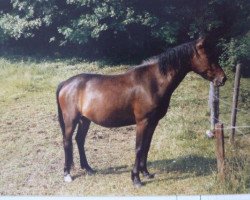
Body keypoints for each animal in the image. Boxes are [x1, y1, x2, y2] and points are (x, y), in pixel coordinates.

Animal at [56, 36, 227, 188]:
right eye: (209, 56)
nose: (223, 79)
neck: (152, 82)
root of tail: (65, 83)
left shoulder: (153, 122)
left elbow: (146, 146)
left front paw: (146, 173)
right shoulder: (142, 122)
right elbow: (138, 148)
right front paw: (136, 179)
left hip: (85, 120)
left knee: (79, 140)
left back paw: (88, 169)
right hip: (71, 120)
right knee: (67, 141)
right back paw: (67, 174)